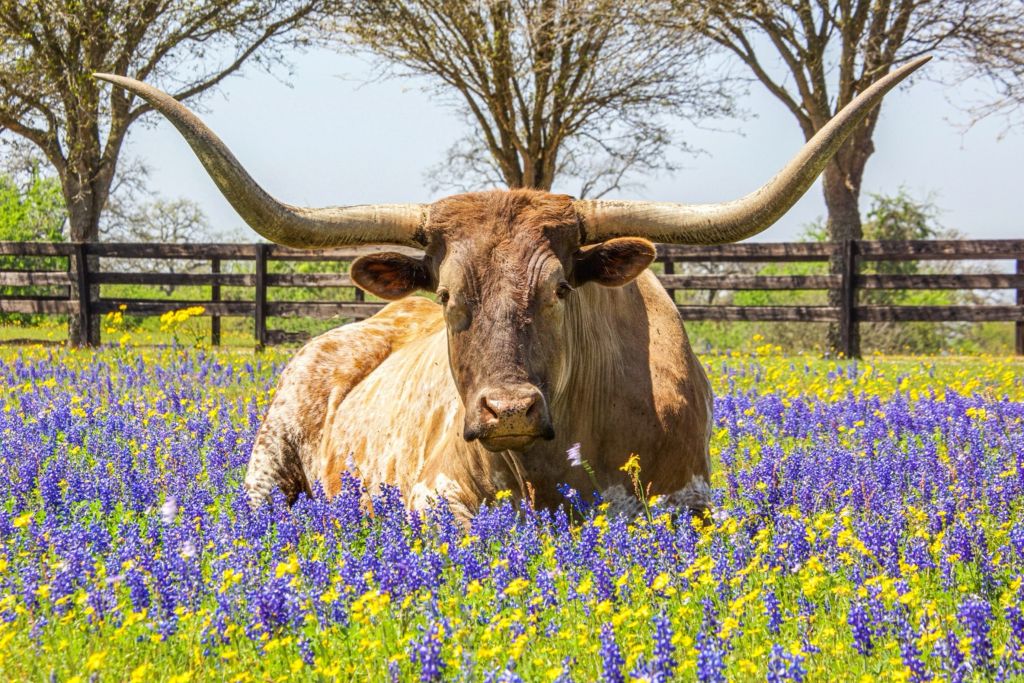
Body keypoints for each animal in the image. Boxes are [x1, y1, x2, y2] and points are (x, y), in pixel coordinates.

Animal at [96, 56, 928, 521]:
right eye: (447, 295)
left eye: (560, 287)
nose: (508, 409)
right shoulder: (432, 496)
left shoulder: (688, 503)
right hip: (266, 466)